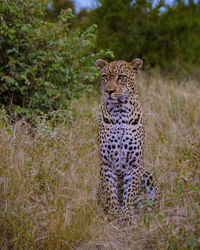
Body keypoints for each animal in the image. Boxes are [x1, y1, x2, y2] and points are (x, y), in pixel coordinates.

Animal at [95, 58, 161, 223]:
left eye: (121, 77)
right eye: (105, 77)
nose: (109, 91)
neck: (119, 112)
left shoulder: (135, 163)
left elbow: (130, 191)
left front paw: (126, 215)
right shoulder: (106, 162)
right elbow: (110, 191)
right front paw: (113, 214)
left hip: (147, 174)